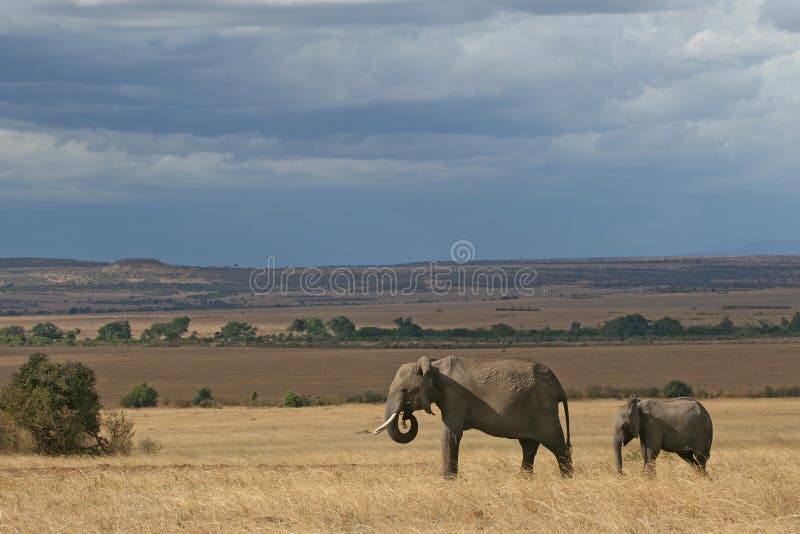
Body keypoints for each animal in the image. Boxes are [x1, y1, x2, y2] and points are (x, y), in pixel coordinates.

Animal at [372, 358, 572, 480]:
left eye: (403, 390)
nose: (406, 417)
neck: (434, 365)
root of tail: (559, 387)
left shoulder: (454, 397)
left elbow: (450, 434)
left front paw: (448, 481)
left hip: (543, 410)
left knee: (556, 444)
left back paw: (566, 479)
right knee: (529, 446)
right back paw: (524, 479)